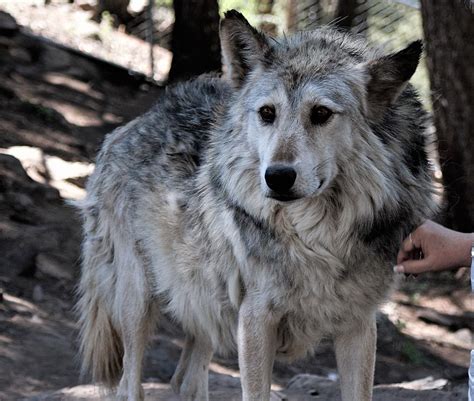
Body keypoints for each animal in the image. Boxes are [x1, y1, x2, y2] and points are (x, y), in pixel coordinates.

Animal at [77, 10, 436, 400]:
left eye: (321, 113)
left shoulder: (358, 324)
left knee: (185, 380)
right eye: (267, 113)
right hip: (138, 299)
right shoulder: (256, 318)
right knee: (130, 383)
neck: (320, 240)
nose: (277, 177)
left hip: (207, 305)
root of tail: (132, 124)